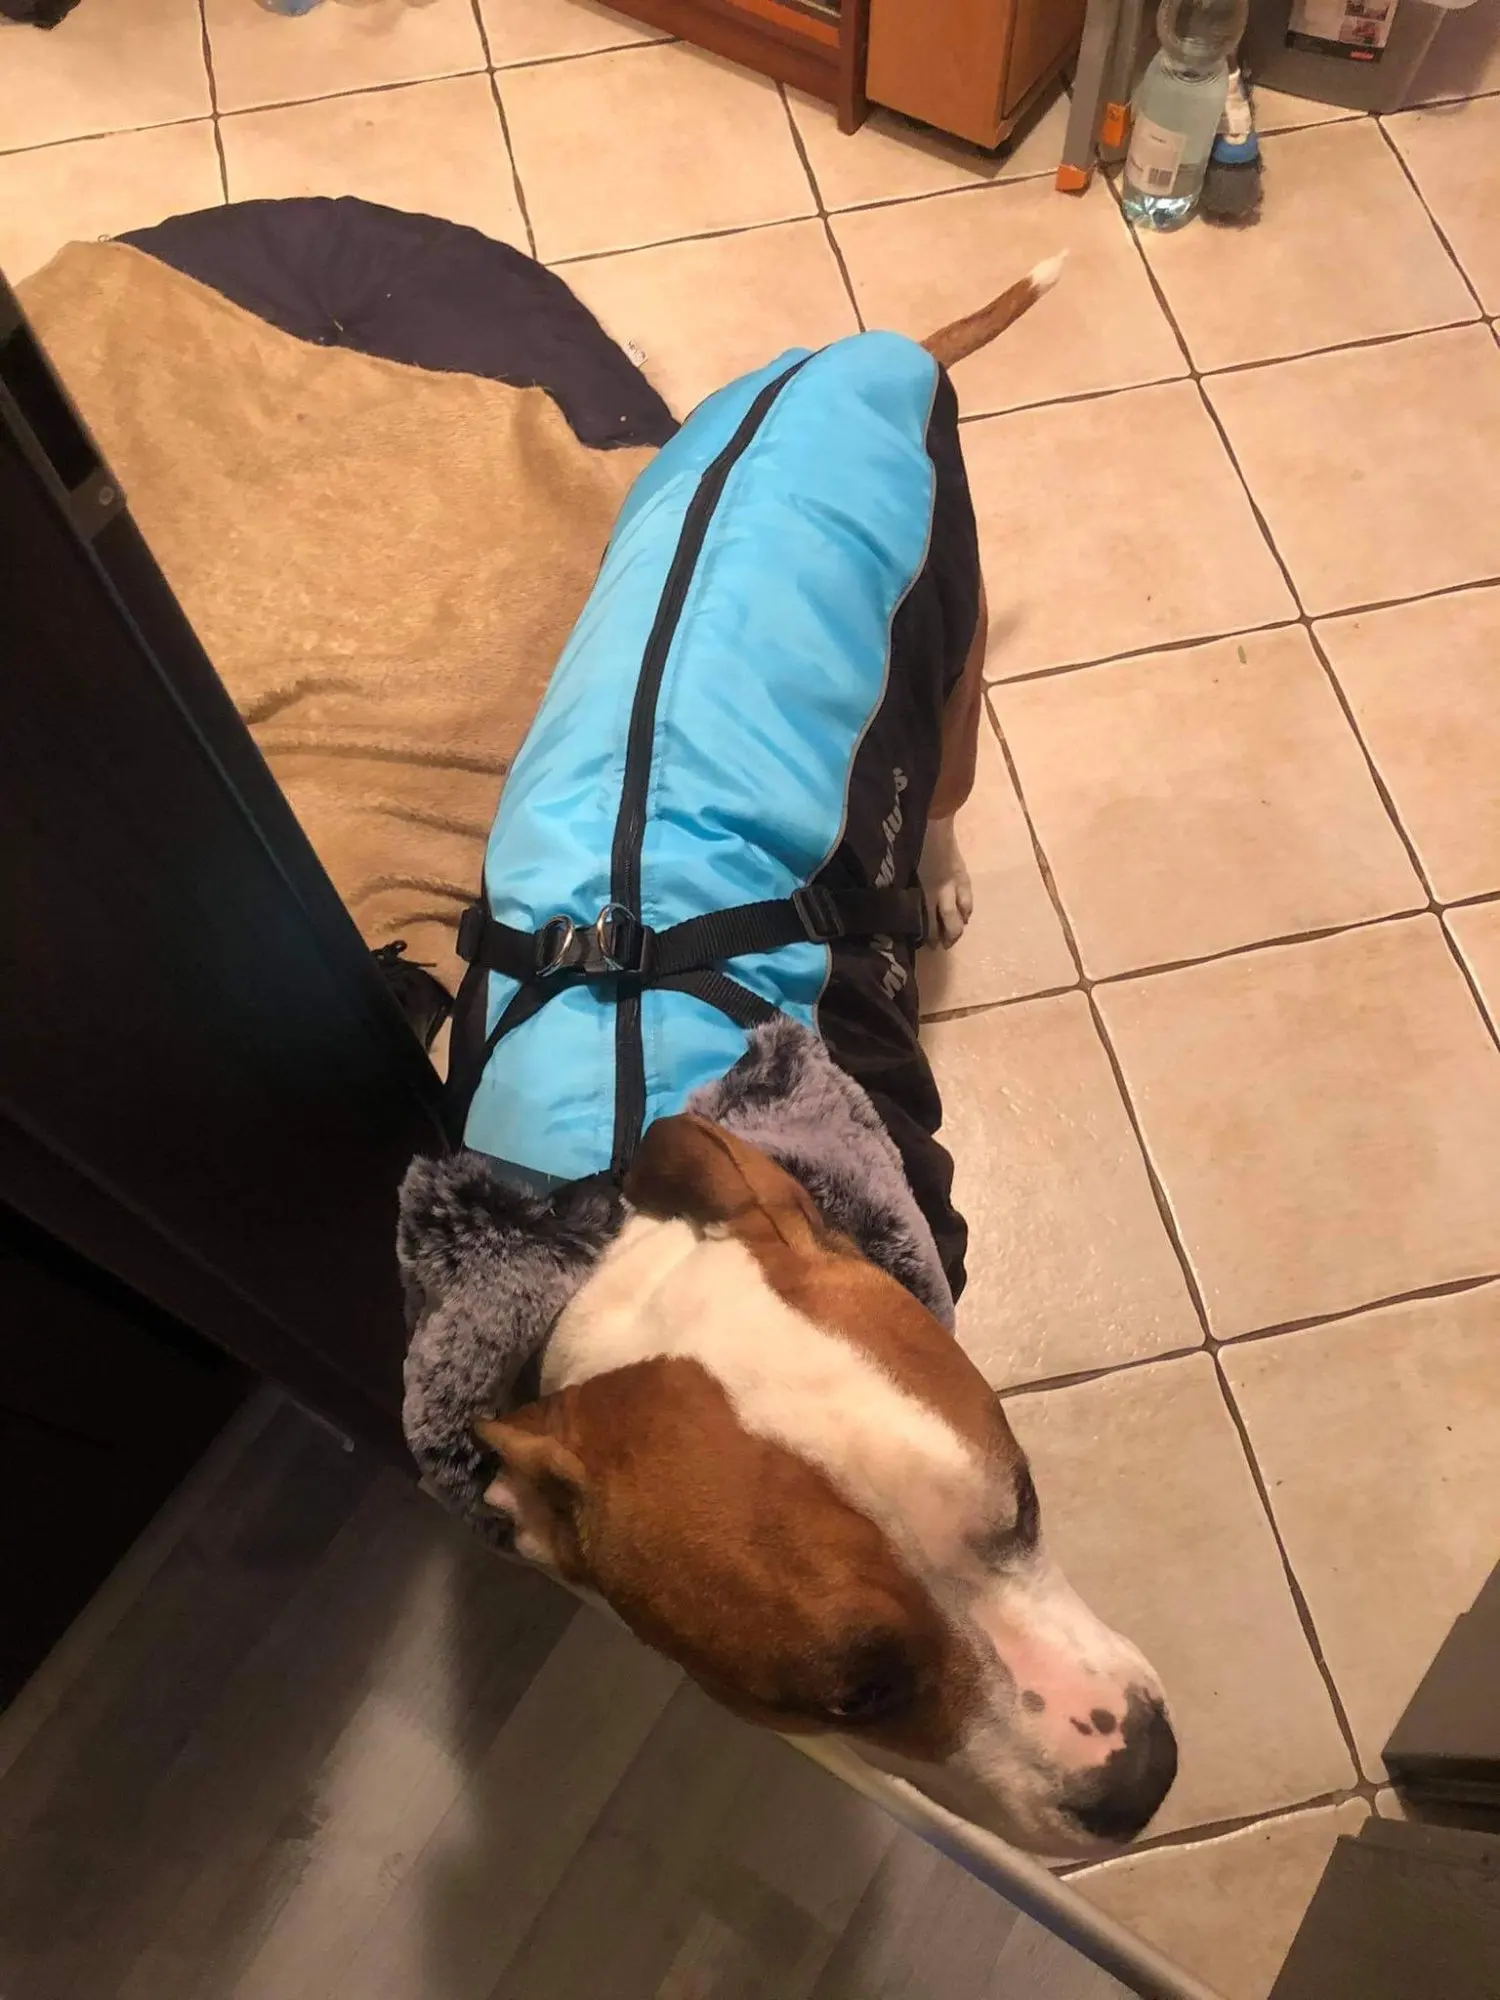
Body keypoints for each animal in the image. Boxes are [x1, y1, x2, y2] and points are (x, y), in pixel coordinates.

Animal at [398, 261, 1177, 1859]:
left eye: (1022, 1497)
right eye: (850, 1692)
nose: (1139, 1778)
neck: (602, 1212)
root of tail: (854, 346)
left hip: (950, 658)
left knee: (942, 789)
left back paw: (936, 876)